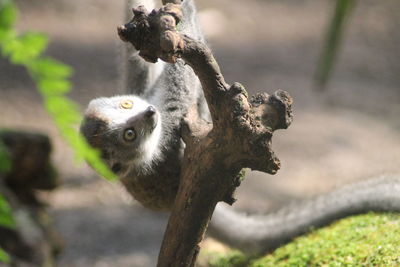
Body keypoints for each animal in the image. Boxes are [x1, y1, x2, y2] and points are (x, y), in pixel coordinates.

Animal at [81, 0, 400, 258]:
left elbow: (137, 61)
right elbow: (179, 84)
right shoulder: (167, 133)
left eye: (125, 105)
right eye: (129, 135)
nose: (148, 113)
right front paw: (185, 13)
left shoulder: (141, 91)